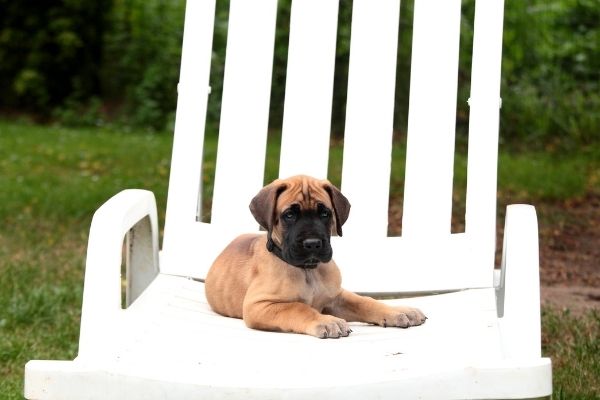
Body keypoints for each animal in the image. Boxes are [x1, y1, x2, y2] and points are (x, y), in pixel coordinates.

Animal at [206, 175, 426, 338]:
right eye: (289, 215)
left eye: (325, 213)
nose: (312, 243)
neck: (307, 271)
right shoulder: (258, 305)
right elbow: (298, 308)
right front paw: (326, 321)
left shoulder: (336, 297)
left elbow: (365, 301)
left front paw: (398, 311)